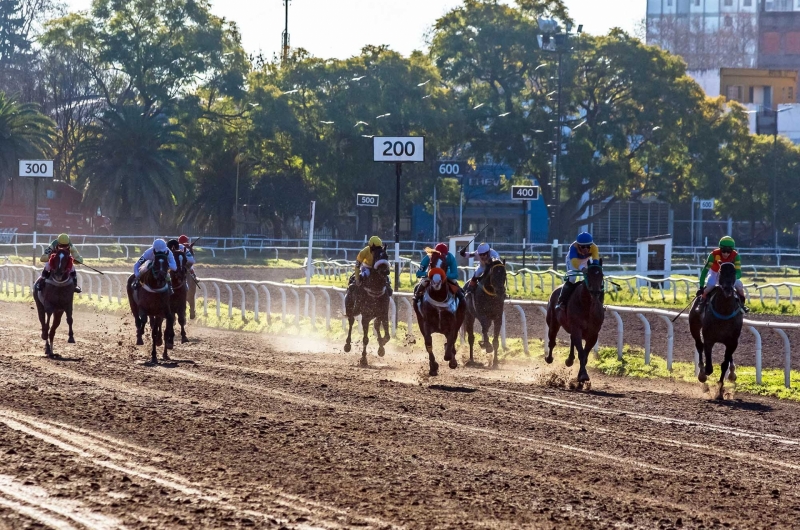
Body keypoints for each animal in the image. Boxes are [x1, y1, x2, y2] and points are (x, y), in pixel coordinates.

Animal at [544, 260, 608, 388]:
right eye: (588, 274)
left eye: (601, 274)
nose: (596, 292)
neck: (588, 305)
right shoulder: (577, 328)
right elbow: (582, 353)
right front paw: (583, 376)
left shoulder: (593, 333)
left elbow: (585, 355)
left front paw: (581, 378)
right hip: (553, 322)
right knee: (552, 340)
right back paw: (549, 358)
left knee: (571, 339)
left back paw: (569, 360)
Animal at [688, 260, 744, 396]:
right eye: (721, 272)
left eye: (733, 272)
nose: (728, 289)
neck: (724, 312)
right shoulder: (709, 339)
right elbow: (709, 366)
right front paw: (704, 375)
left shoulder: (733, 341)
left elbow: (724, 364)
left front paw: (720, 391)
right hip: (694, 327)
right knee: (699, 345)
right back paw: (702, 375)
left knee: (728, 359)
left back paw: (732, 373)